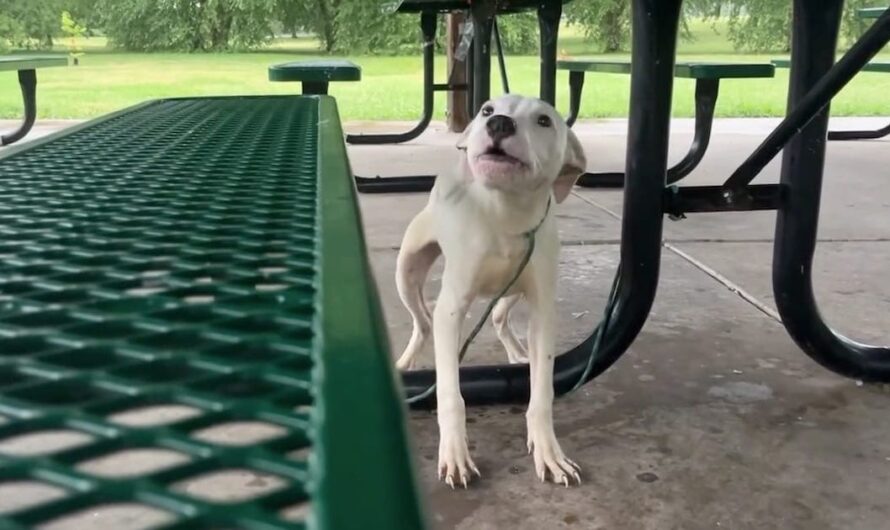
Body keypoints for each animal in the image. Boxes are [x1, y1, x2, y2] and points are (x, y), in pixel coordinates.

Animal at [394, 93, 584, 484]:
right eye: (487, 110)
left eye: (544, 120)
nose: (498, 124)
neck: (505, 214)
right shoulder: (451, 309)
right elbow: (451, 394)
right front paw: (454, 453)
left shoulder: (543, 309)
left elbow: (542, 392)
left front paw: (548, 451)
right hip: (406, 271)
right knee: (423, 323)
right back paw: (406, 362)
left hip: (513, 289)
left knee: (497, 316)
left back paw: (518, 353)